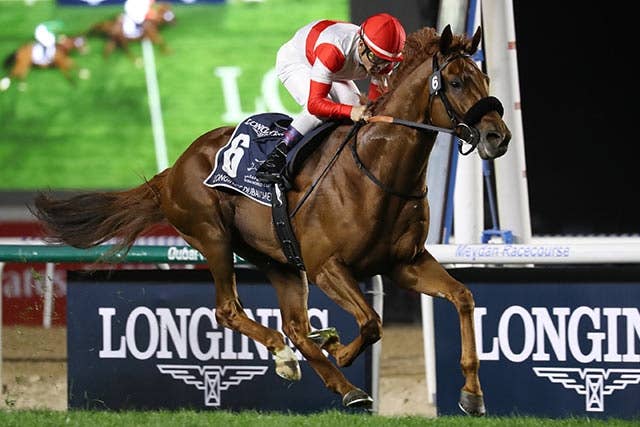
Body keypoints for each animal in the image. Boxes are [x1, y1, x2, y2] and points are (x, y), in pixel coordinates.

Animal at [31, 25, 511, 415]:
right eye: (455, 81)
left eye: (486, 78)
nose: (498, 137)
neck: (377, 171)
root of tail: (174, 169)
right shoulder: (326, 267)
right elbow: (371, 322)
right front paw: (344, 351)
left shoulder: (403, 263)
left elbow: (463, 297)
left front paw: (472, 394)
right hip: (214, 237)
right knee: (231, 310)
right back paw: (293, 358)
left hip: (277, 259)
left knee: (296, 327)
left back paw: (337, 378)